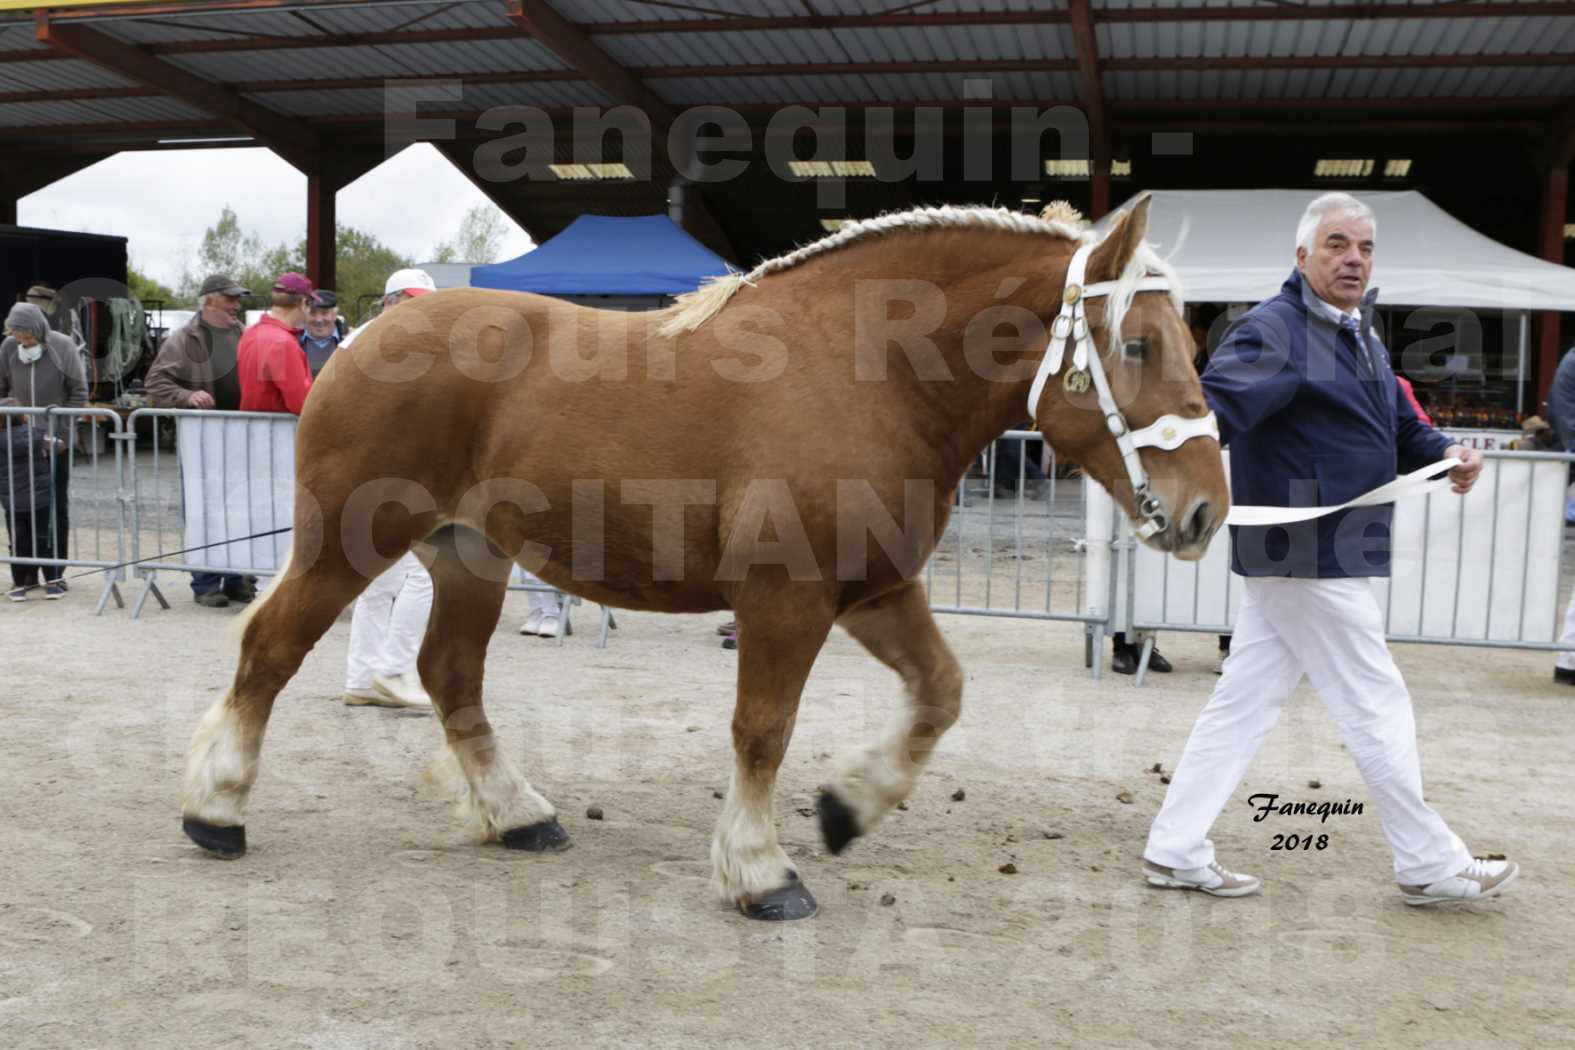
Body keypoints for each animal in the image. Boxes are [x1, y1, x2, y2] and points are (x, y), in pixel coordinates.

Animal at [178, 195, 1222, 919]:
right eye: (1136, 343)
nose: (1203, 509)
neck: (865, 372)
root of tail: (372, 331)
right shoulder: (785, 599)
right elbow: (762, 730)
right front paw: (761, 870)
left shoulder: (876, 589)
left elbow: (939, 695)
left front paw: (847, 808)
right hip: (348, 542)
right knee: (271, 650)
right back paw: (217, 811)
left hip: (467, 556)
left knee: (450, 677)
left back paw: (519, 814)